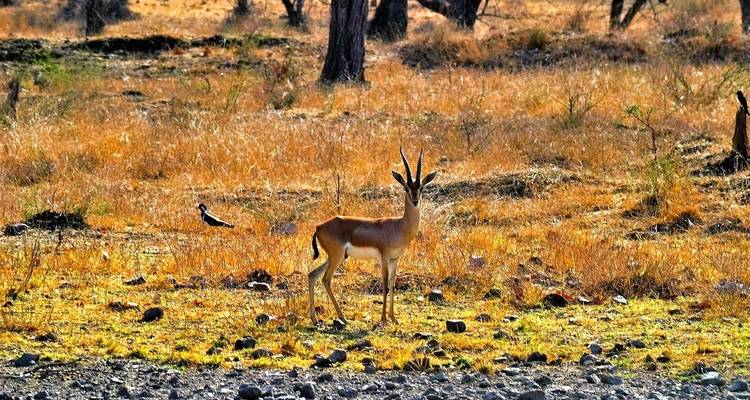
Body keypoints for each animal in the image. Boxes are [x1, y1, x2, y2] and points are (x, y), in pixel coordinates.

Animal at [308, 147, 437, 325]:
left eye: (421, 187)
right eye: (406, 187)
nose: (415, 200)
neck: (399, 226)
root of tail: (318, 227)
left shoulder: (395, 259)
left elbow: (392, 285)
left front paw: (393, 318)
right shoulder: (383, 257)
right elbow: (385, 285)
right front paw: (383, 319)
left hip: (334, 257)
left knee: (312, 275)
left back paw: (315, 319)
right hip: (337, 257)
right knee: (326, 279)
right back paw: (342, 317)